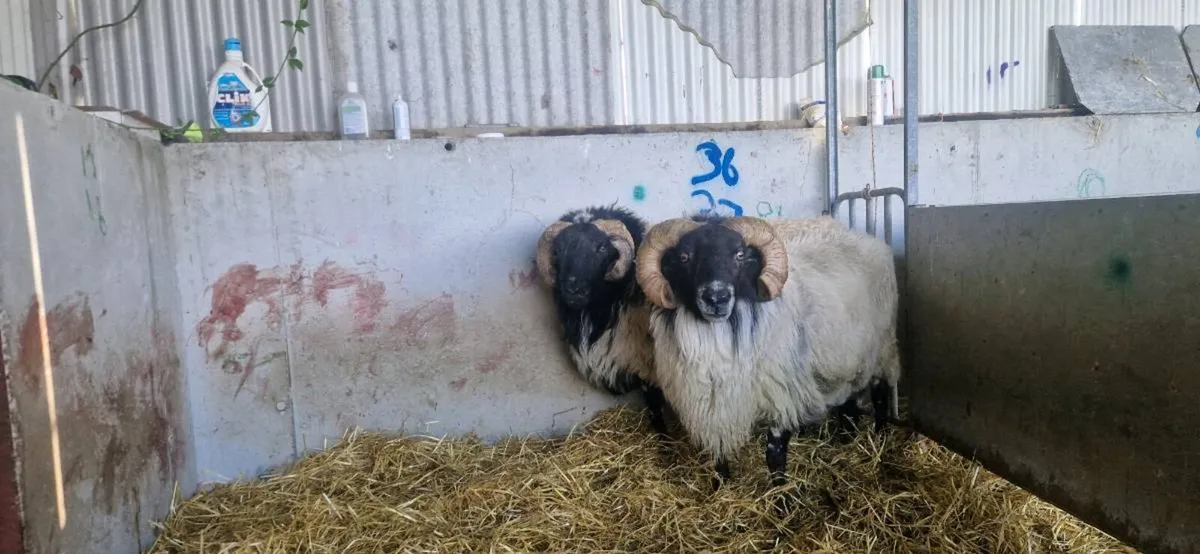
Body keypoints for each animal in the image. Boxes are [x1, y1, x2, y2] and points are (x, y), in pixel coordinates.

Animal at [535, 204, 670, 436]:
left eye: (601, 248)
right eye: (558, 250)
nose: (574, 290)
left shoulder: (650, 366)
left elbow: (656, 408)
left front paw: (666, 440)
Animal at [634, 213, 900, 488]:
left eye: (740, 255)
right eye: (684, 257)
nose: (716, 297)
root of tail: (869, 240)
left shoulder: (781, 393)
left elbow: (774, 453)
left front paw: (780, 492)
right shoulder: (711, 405)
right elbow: (718, 451)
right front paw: (722, 485)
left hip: (883, 347)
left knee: (881, 392)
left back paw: (880, 438)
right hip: (847, 356)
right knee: (849, 397)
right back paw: (847, 437)